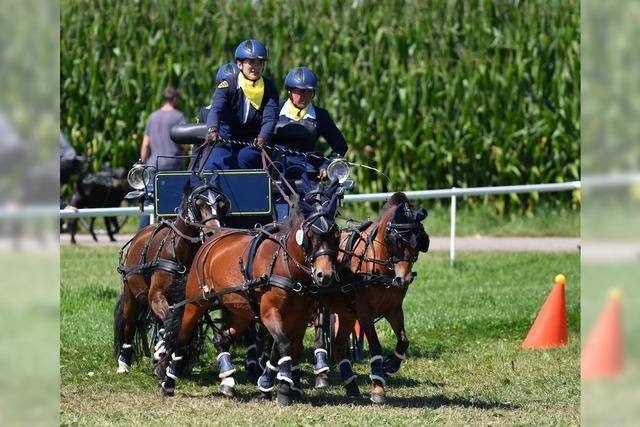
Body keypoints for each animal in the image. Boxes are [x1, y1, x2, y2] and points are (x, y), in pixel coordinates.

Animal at [113, 179, 228, 376]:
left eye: (222, 205)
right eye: (198, 204)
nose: (213, 233)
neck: (180, 253)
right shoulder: (156, 296)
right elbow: (169, 320)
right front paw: (162, 353)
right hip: (131, 295)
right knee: (130, 323)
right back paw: (125, 362)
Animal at [158, 181, 342, 408]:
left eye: (336, 235)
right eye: (311, 235)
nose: (324, 275)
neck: (285, 264)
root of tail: (211, 238)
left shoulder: (300, 317)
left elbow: (286, 348)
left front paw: (270, 387)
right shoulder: (269, 312)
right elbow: (283, 344)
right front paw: (283, 390)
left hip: (241, 310)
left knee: (221, 338)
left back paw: (227, 382)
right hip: (197, 303)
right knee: (182, 338)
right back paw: (168, 383)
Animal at [312, 194, 428, 404]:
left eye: (419, 241)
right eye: (397, 241)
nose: (404, 279)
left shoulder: (394, 309)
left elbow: (404, 340)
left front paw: (390, 366)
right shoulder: (365, 313)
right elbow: (375, 346)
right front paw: (378, 388)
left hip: (347, 313)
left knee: (339, 346)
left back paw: (351, 387)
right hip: (320, 304)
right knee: (318, 334)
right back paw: (321, 373)